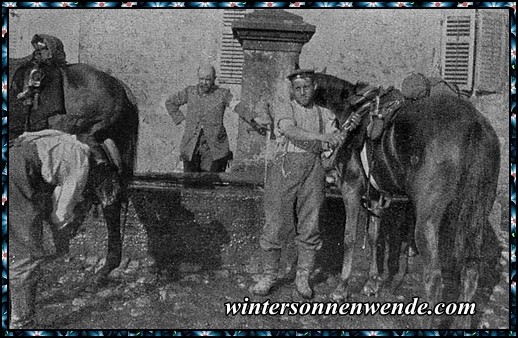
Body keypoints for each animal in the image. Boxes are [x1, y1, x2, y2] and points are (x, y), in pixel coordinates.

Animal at [312, 72, 504, 328]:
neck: (354, 108)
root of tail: (475, 124)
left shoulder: (351, 188)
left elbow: (350, 237)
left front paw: (342, 288)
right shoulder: (376, 196)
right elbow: (374, 238)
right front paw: (372, 283)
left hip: (427, 222)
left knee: (434, 277)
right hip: (475, 216)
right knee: (471, 269)